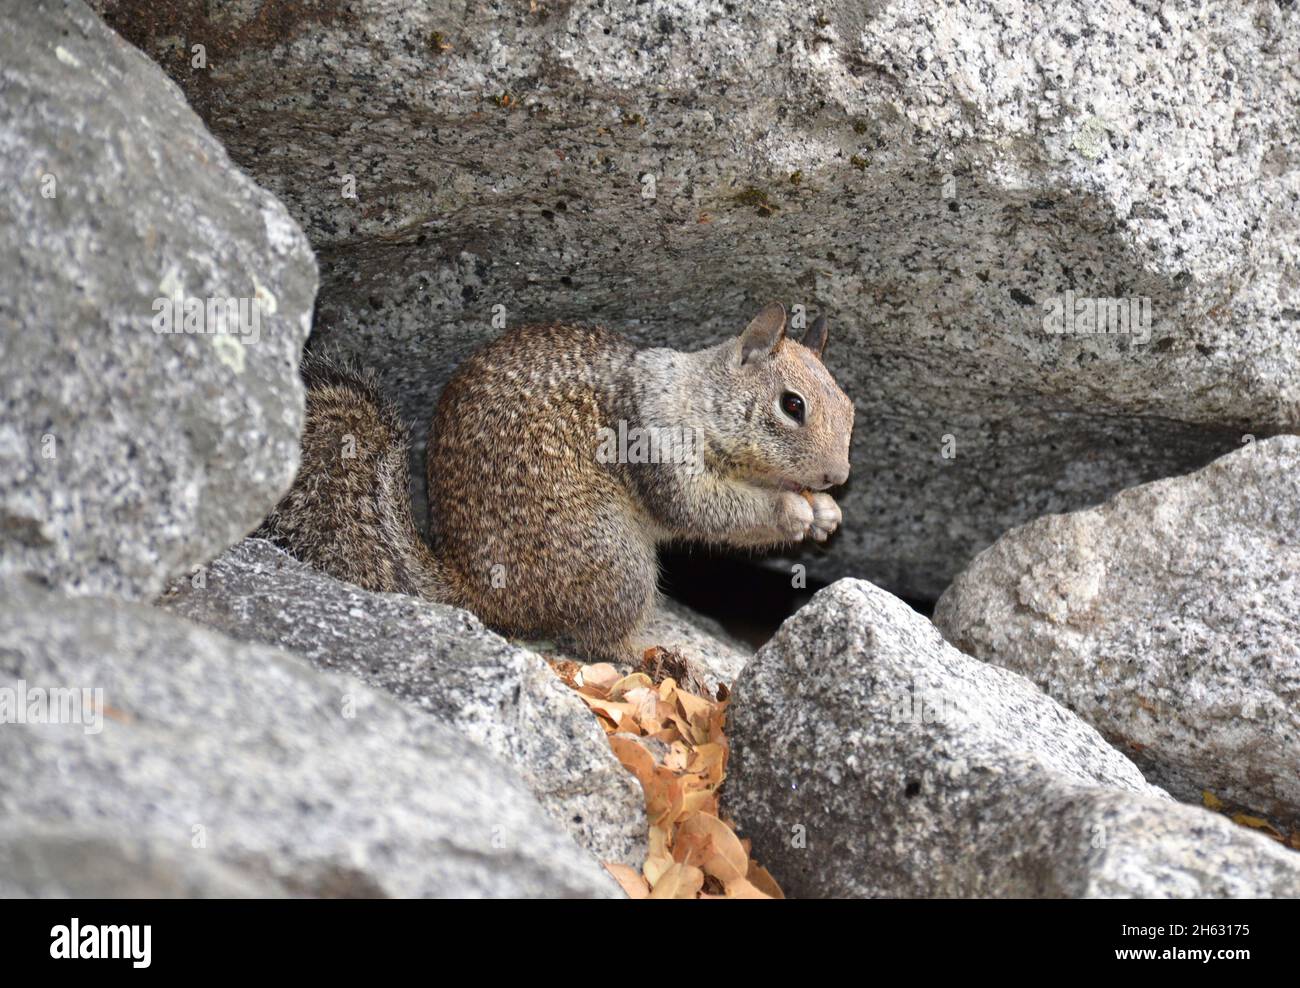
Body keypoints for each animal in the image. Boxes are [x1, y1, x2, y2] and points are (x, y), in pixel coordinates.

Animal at [260, 302, 857, 663]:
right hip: (616, 558)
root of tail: (476, 593)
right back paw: (648, 656)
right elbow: (701, 509)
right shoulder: (657, 440)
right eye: (792, 405)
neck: (697, 397)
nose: (839, 476)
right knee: (598, 641)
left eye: (850, 407)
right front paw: (792, 511)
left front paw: (825, 511)